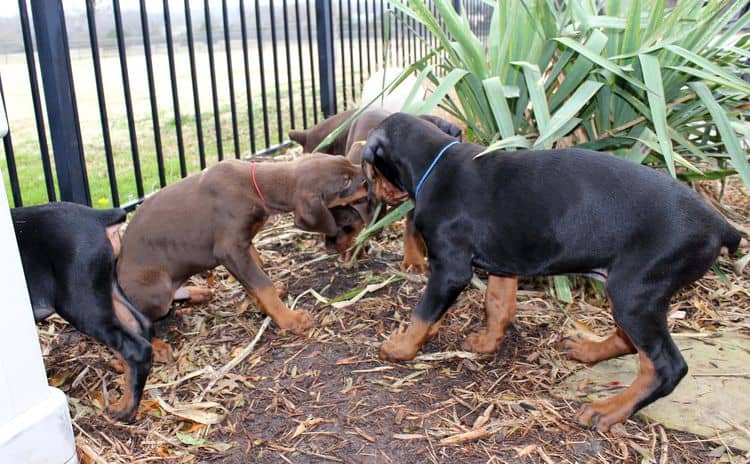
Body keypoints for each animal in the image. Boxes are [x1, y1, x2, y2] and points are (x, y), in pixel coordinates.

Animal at [12, 201, 153, 422]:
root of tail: (98, 217)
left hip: (80, 302)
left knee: (137, 348)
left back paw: (124, 411)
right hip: (106, 287)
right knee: (140, 324)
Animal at [118, 156, 370, 338]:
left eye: (346, 161)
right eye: (345, 181)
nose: (369, 176)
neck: (255, 187)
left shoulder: (244, 242)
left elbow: (259, 271)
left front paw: (262, 301)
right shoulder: (230, 249)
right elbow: (262, 284)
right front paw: (289, 319)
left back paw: (196, 292)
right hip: (157, 289)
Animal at [362, 112, 744, 432]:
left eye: (373, 171)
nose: (373, 194)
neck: (436, 163)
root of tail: (720, 225)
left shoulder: (449, 268)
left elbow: (423, 313)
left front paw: (401, 347)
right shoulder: (505, 260)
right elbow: (497, 304)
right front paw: (487, 343)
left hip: (636, 291)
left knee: (665, 366)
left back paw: (608, 410)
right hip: (627, 289)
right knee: (630, 341)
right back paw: (589, 351)